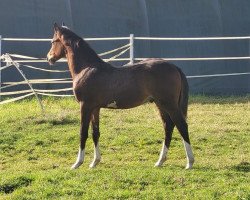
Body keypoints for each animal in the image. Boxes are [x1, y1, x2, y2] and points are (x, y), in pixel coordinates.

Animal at [47, 23, 195, 170]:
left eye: (53, 41)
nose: (49, 58)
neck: (87, 69)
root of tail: (175, 67)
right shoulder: (95, 108)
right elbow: (95, 133)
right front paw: (95, 162)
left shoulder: (85, 106)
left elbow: (83, 133)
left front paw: (77, 163)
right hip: (160, 104)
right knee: (168, 126)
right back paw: (160, 161)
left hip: (169, 104)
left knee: (181, 125)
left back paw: (189, 162)